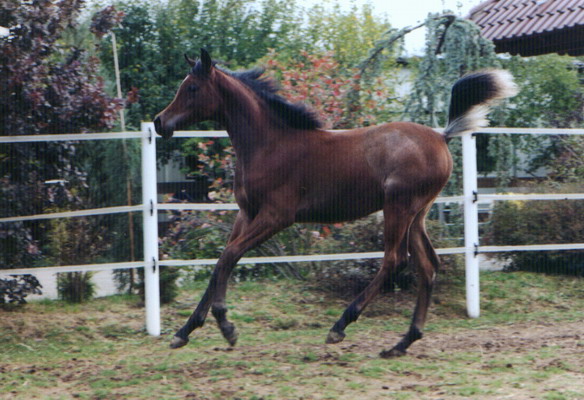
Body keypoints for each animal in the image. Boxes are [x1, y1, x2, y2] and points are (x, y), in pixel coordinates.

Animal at [154, 48, 517, 357]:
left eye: (192, 88)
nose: (159, 122)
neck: (269, 144)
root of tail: (441, 136)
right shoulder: (246, 214)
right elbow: (220, 262)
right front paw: (184, 332)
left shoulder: (276, 216)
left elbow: (228, 257)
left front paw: (226, 326)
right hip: (417, 214)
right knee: (426, 265)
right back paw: (402, 343)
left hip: (398, 207)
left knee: (394, 259)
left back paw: (341, 325)